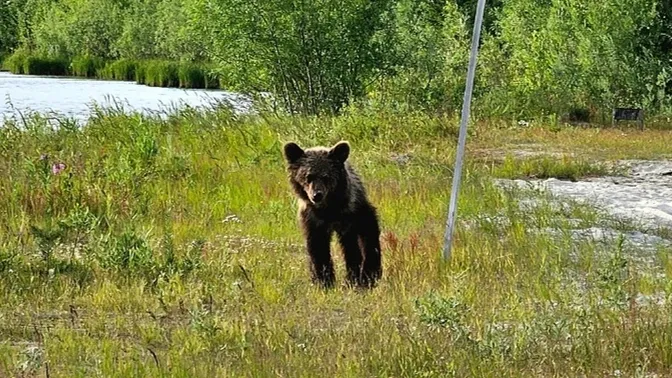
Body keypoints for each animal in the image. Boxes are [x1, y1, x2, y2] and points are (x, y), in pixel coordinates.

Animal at [280, 140, 380, 288]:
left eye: (326, 176)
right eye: (308, 176)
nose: (317, 195)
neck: (329, 209)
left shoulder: (353, 210)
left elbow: (368, 234)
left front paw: (368, 276)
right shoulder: (313, 220)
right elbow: (318, 249)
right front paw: (324, 281)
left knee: (351, 246)